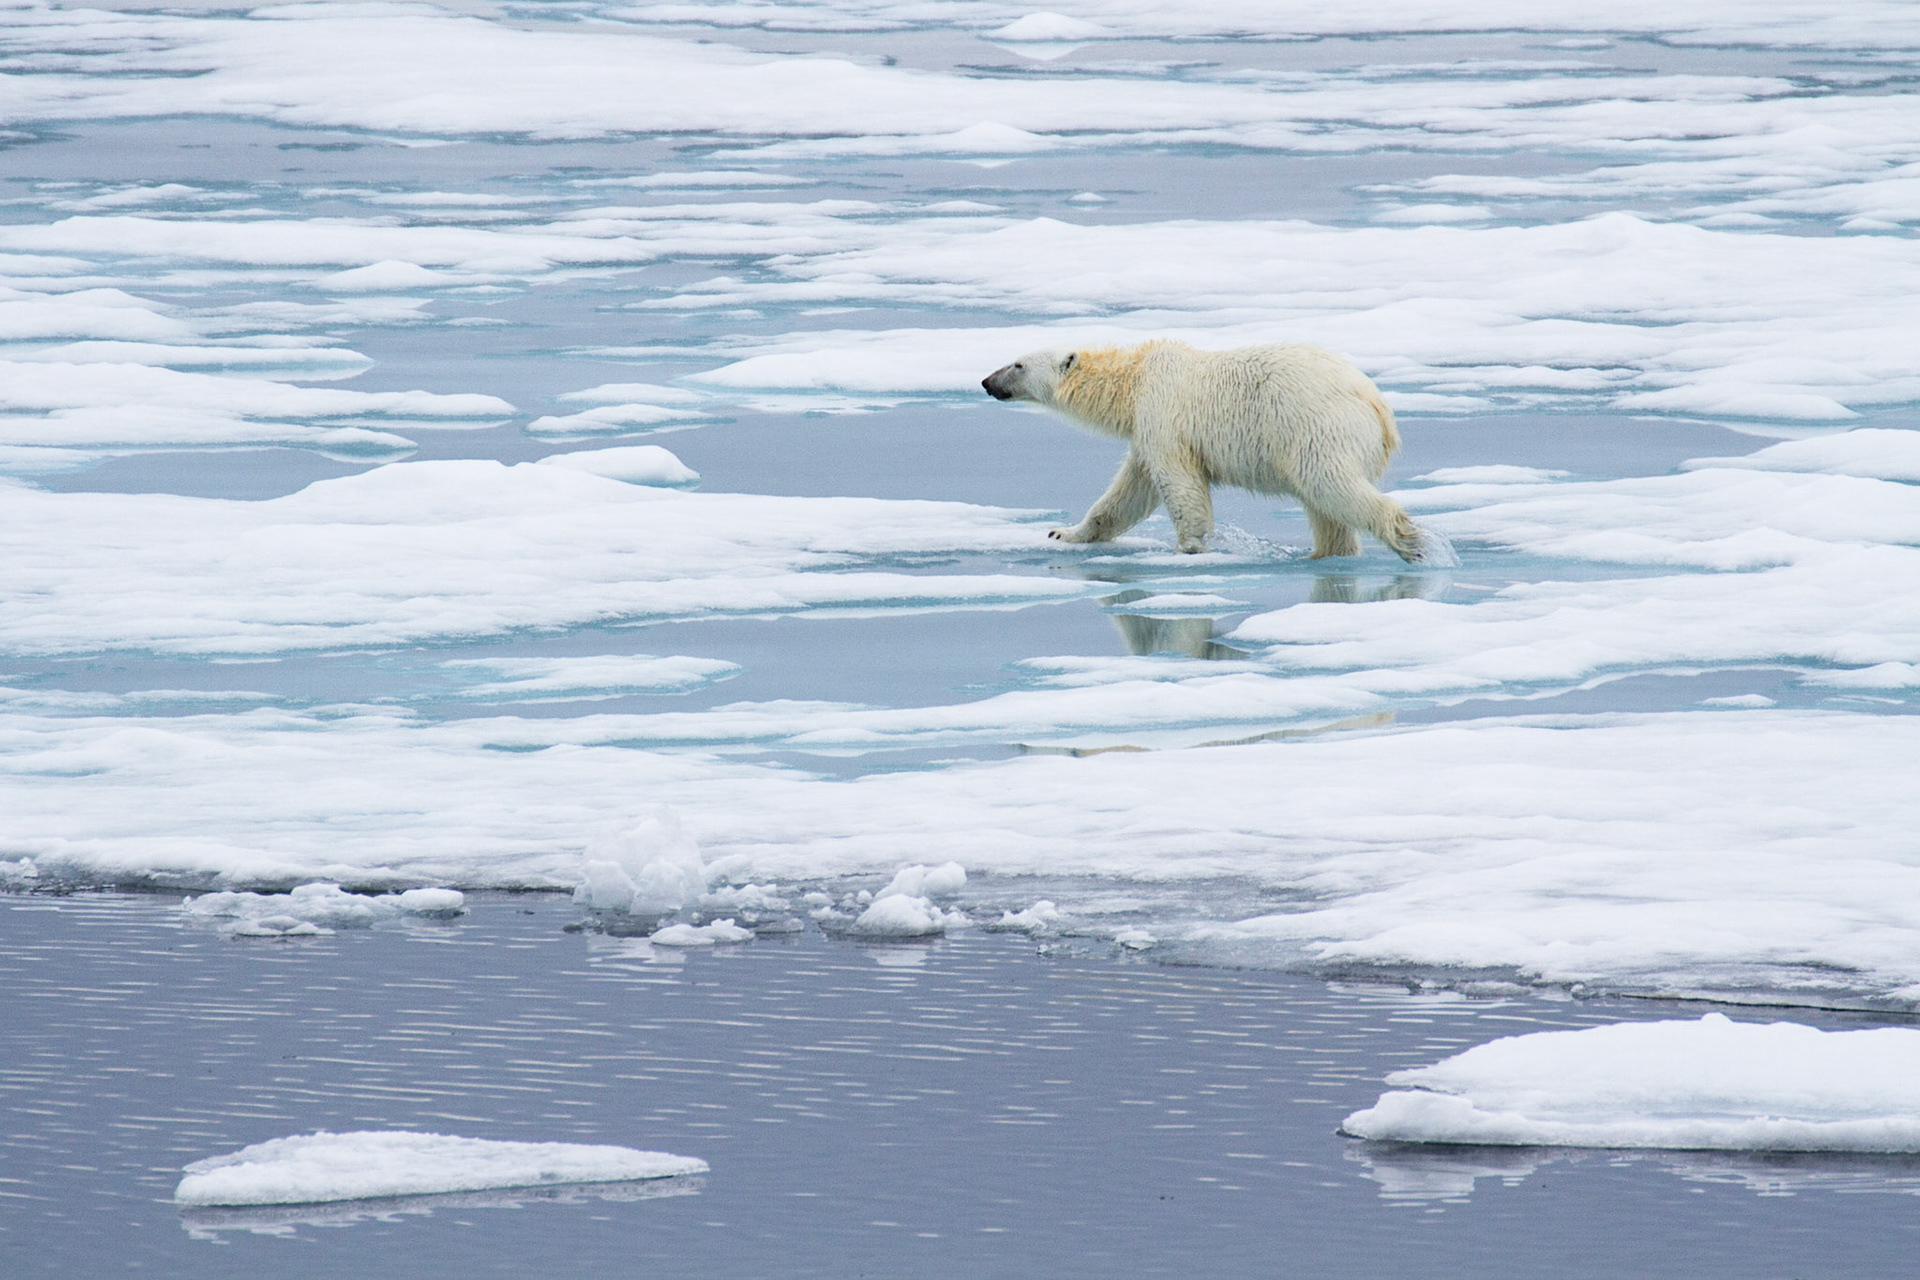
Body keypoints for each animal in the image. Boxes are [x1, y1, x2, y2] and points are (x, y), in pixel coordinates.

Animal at [982, 340, 1442, 562]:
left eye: (1018, 364)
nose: (987, 382)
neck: (1134, 379)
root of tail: (1379, 410)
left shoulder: (1164, 414)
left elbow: (1179, 485)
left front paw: (1187, 549)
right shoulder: (1145, 429)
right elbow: (1128, 493)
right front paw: (1064, 532)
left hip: (1317, 429)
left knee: (1332, 487)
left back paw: (1414, 542)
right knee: (1326, 508)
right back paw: (1325, 553)